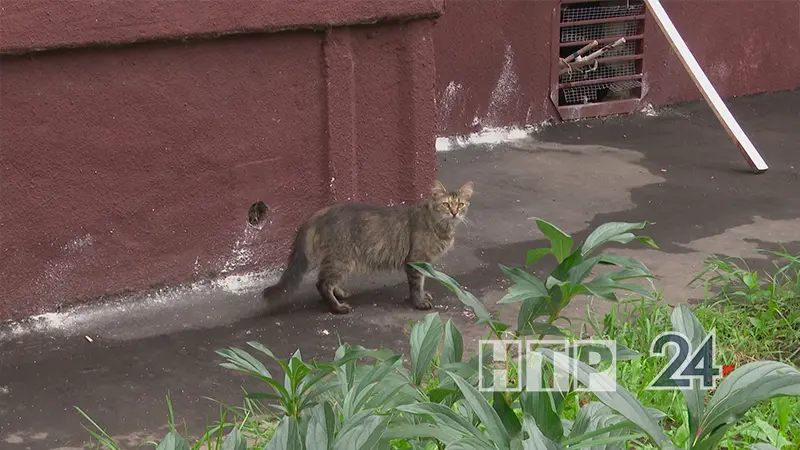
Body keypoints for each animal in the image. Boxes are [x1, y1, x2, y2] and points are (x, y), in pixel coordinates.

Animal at [262, 181, 476, 314]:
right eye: (446, 204)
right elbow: (416, 285)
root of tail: (317, 214)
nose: (455, 213)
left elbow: (420, 283)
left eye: (461, 205)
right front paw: (419, 302)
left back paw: (340, 293)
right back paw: (337, 308)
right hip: (342, 260)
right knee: (321, 283)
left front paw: (422, 295)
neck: (439, 225)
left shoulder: (422, 262)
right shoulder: (415, 260)